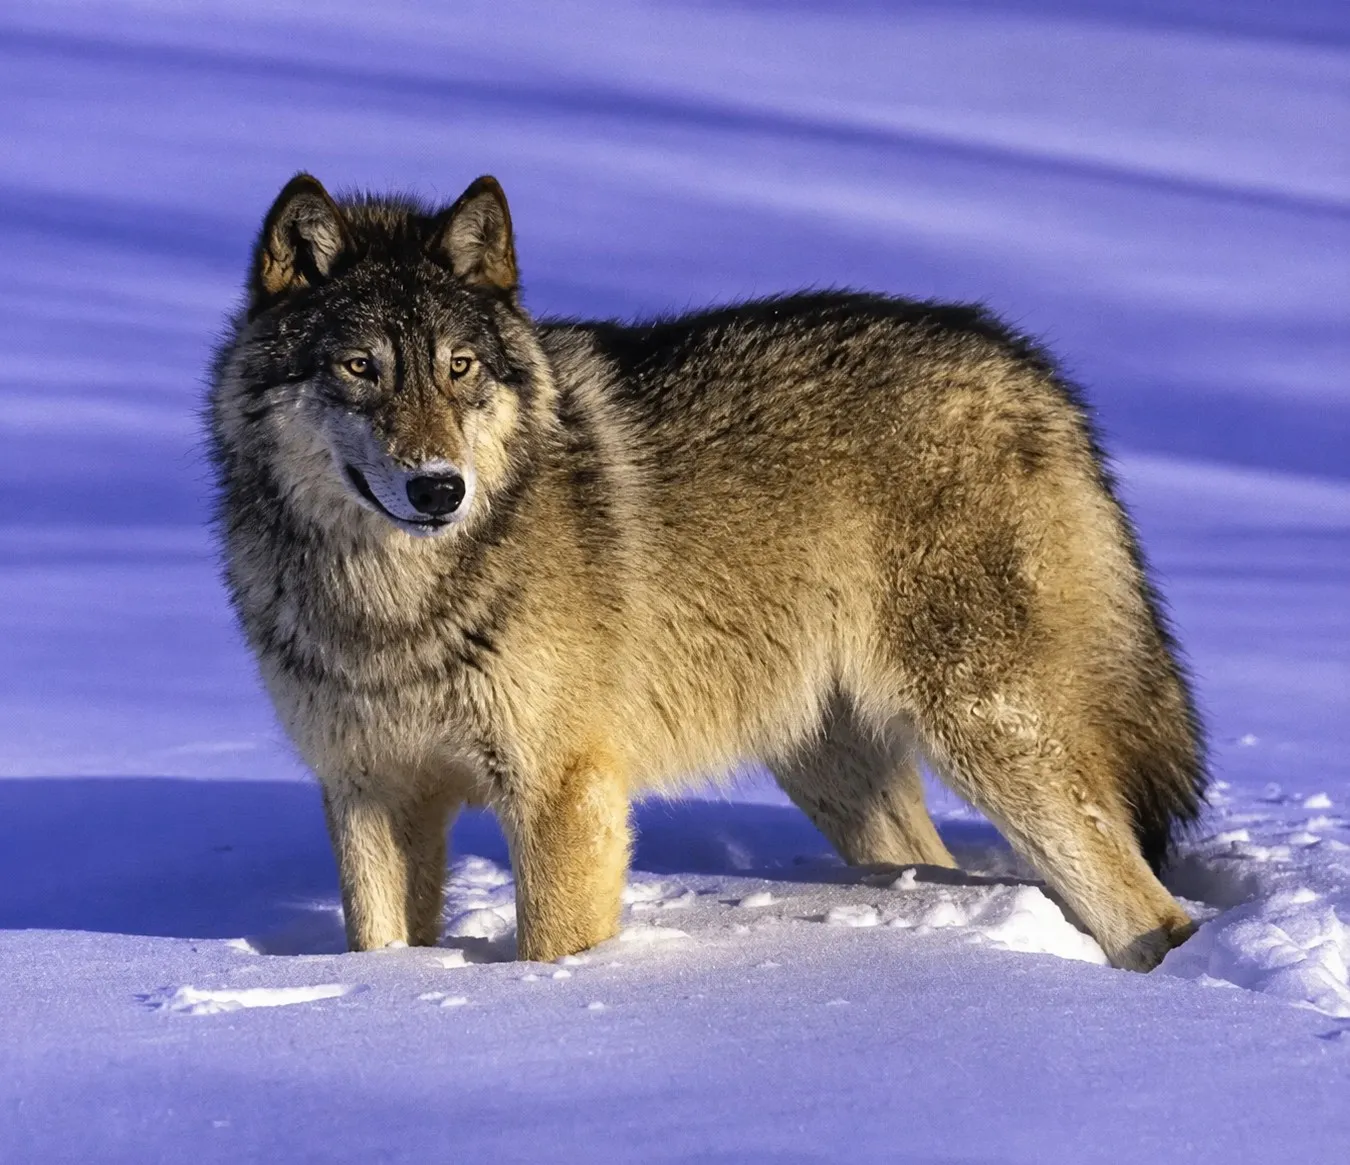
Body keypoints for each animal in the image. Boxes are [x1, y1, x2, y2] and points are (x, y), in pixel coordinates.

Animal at [208, 173, 1206, 971]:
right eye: (360, 367)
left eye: (459, 368)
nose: (439, 488)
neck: (393, 605)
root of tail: (1032, 369)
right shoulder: (370, 791)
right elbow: (379, 947)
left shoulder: (563, 791)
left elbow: (549, 949)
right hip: (835, 771)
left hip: (992, 735)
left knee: (1151, 909)